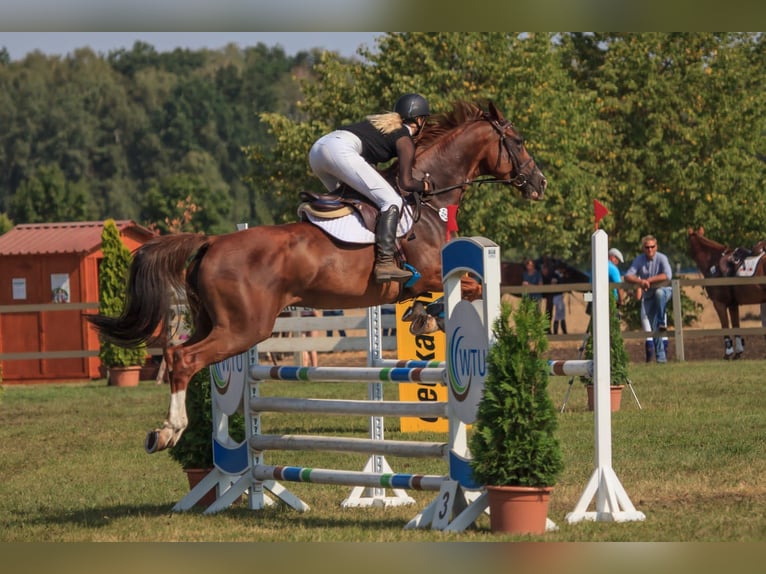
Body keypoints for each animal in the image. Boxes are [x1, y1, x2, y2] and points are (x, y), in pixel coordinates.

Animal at [88, 101, 544, 456]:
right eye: (519, 140)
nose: (539, 184)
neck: (429, 202)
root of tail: (212, 241)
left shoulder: (426, 276)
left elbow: (453, 293)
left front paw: (421, 316)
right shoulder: (431, 269)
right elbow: (473, 286)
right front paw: (429, 316)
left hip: (213, 321)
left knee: (176, 352)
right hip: (244, 328)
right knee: (185, 359)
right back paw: (169, 432)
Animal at [688, 228, 766, 360]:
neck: (713, 262)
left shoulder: (719, 304)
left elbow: (725, 327)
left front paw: (728, 352)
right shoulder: (733, 305)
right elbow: (736, 327)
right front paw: (738, 352)